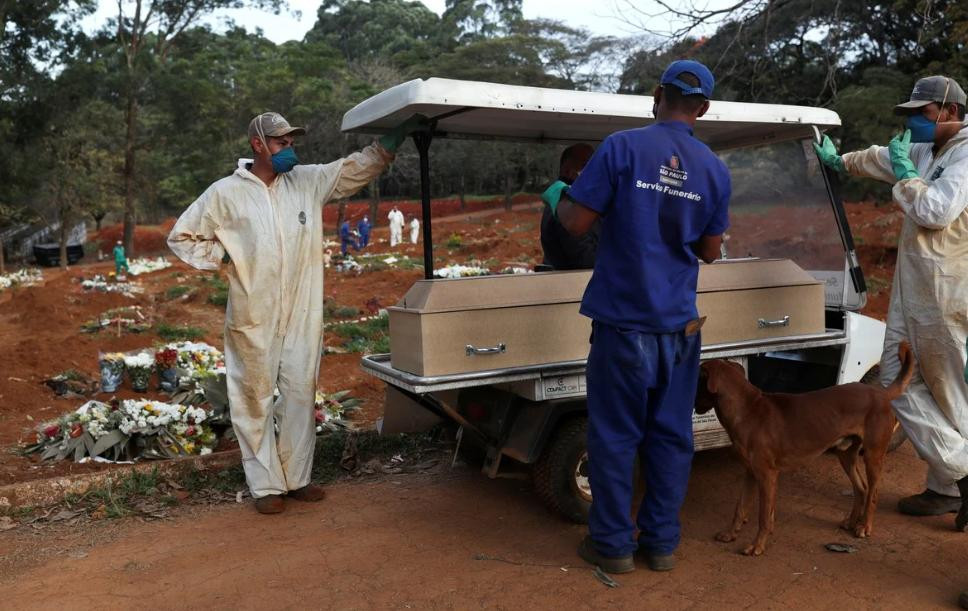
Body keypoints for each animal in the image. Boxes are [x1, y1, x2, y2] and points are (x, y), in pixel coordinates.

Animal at [700, 342, 912, 556]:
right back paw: (851, 522)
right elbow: (741, 508)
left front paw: (757, 545)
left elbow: (763, 516)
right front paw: (730, 534)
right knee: (861, 488)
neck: (748, 410)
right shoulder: (751, 473)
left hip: (873, 455)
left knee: (873, 492)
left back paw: (864, 526)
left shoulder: (767, 475)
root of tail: (882, 393)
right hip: (846, 454)